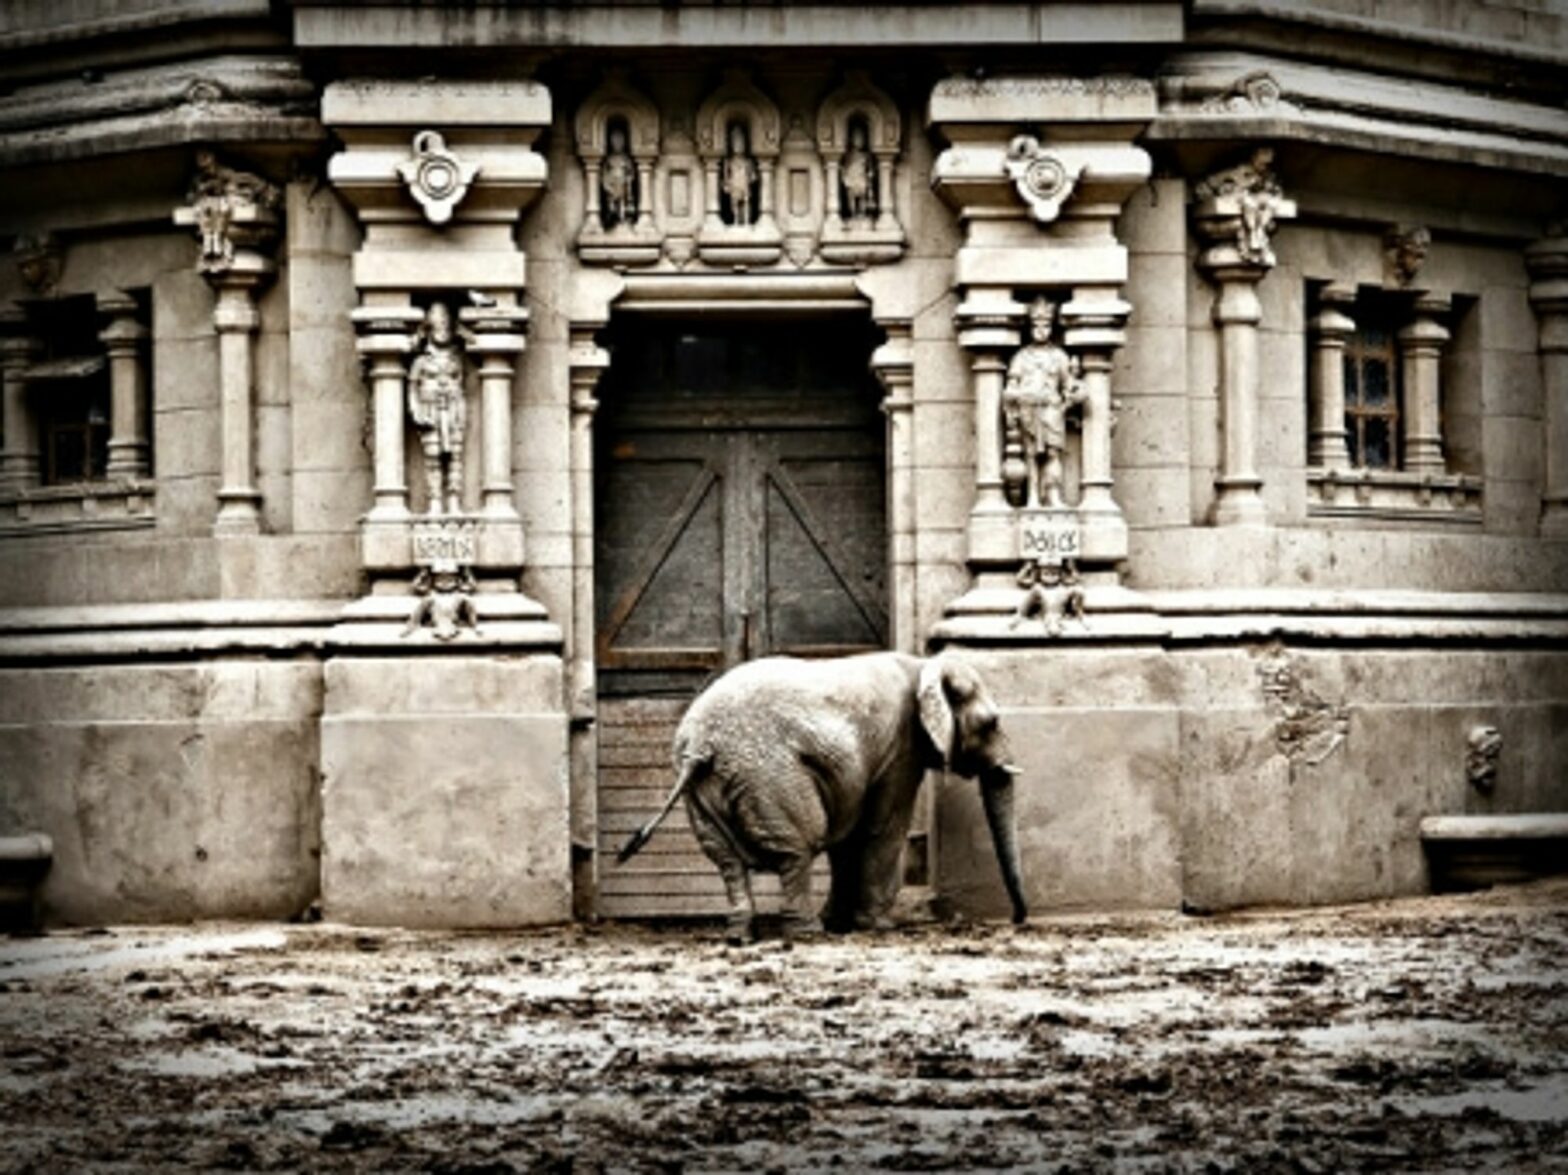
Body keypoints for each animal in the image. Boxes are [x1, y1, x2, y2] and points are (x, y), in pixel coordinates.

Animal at [616, 651, 1027, 943]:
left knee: (726, 859)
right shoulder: (900, 748)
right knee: (797, 848)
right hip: (770, 775)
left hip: (704, 788)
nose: (1017, 919)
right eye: (990, 723)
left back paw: (740, 936)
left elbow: (849, 836)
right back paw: (806, 932)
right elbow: (882, 828)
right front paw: (879, 926)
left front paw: (842, 923)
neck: (923, 664)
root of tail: (701, 745)